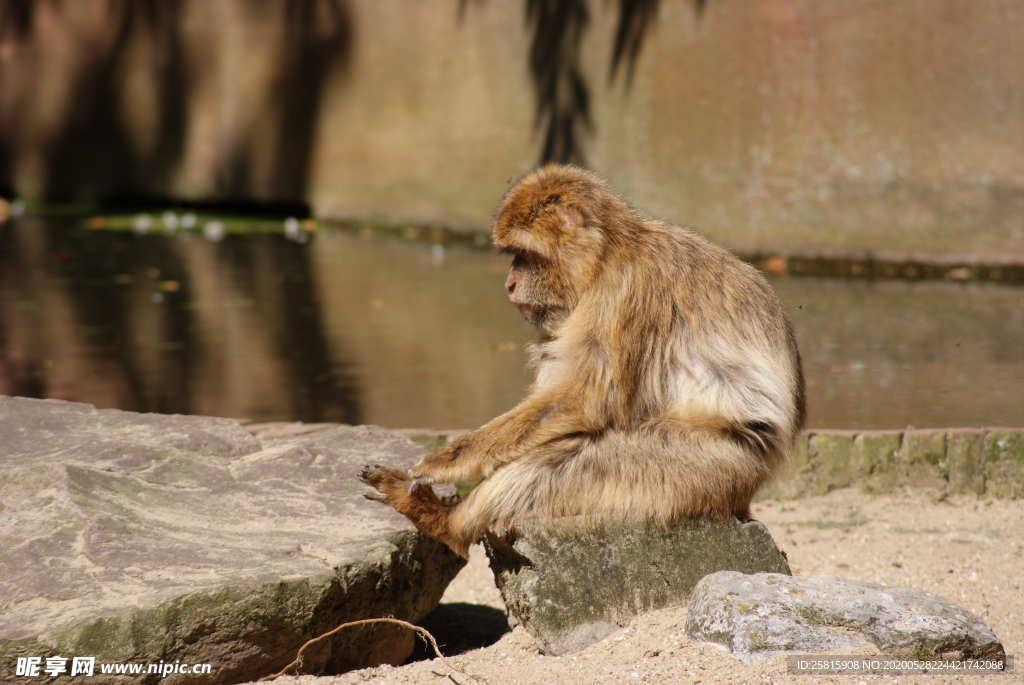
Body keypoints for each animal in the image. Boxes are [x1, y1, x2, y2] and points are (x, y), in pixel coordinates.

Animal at [356, 163, 802, 557]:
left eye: (524, 255)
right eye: (513, 256)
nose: (510, 283)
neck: (609, 253)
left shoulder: (623, 293)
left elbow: (585, 398)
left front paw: (446, 461)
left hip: (707, 467)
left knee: (563, 460)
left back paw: (446, 524)